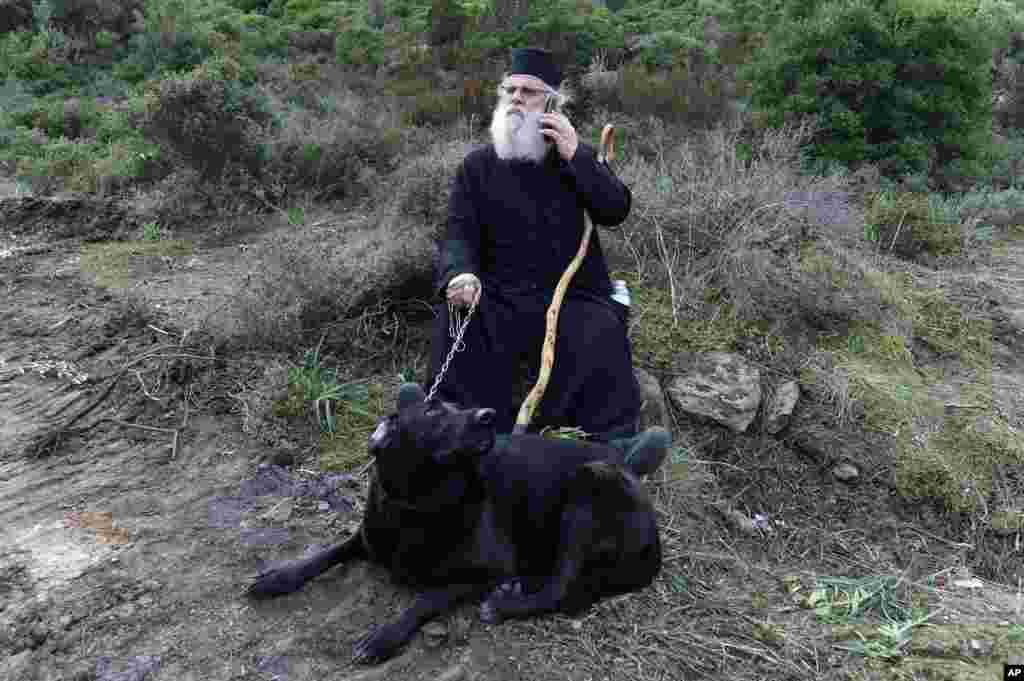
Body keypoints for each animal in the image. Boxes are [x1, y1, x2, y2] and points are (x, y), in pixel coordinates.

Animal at [246, 382, 663, 663]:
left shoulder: (484, 572)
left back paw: (505, 604)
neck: (418, 503)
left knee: (563, 590)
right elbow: (325, 554)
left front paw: (383, 637)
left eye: (459, 407)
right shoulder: (366, 537)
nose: (489, 416)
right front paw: (278, 577)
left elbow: (425, 600)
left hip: (587, 491)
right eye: (433, 412)